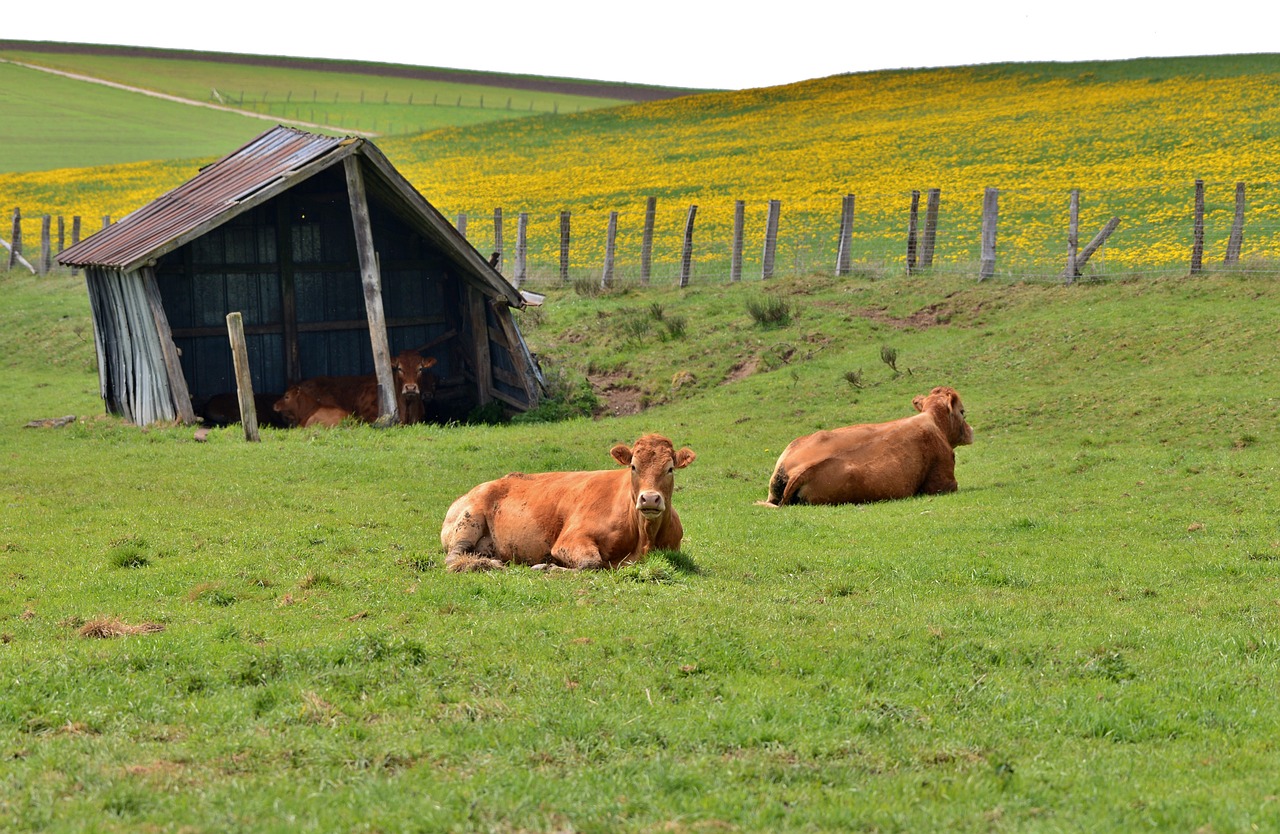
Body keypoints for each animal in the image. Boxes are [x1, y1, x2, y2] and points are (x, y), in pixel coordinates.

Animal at [442, 432, 701, 570]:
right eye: (633, 467)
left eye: (670, 469)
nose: (649, 498)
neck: (644, 538)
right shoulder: (569, 540)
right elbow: (591, 563)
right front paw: (545, 566)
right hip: (469, 521)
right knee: (454, 556)